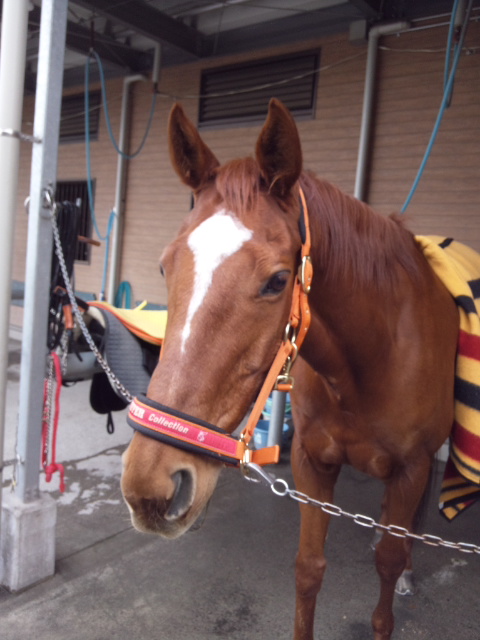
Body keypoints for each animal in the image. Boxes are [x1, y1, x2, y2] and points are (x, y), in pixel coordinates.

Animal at [121, 98, 461, 640]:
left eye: (278, 280)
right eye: (164, 266)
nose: (150, 487)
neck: (368, 363)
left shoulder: (409, 468)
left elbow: (386, 563)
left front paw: (396, 577)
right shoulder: (311, 463)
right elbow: (308, 570)